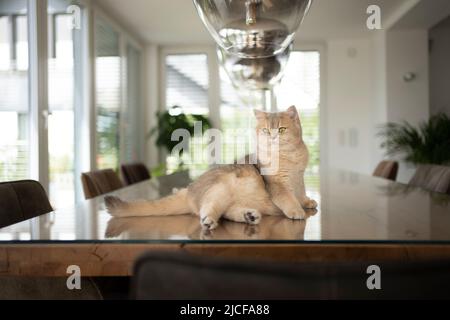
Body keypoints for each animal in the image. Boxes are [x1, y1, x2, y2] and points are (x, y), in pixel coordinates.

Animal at [105, 105, 316, 230]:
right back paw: (209, 221)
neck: (287, 156)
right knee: (208, 208)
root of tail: (189, 188)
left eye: (281, 129)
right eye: (265, 130)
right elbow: (287, 198)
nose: (272, 137)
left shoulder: (299, 178)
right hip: (220, 189)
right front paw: (297, 211)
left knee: (228, 212)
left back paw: (249, 216)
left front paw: (306, 202)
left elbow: (300, 191)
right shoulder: (277, 184)